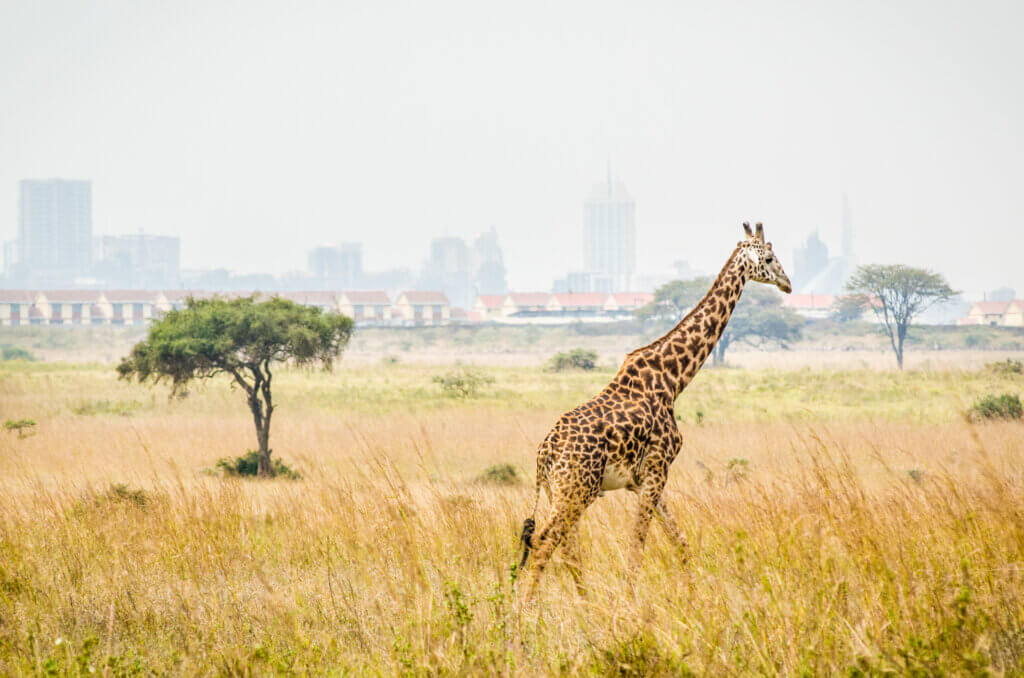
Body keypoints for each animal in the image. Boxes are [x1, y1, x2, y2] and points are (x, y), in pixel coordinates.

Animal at [520, 220, 790, 598]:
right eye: (768, 258)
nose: (787, 284)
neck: (674, 379)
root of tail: (544, 454)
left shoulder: (645, 479)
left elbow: (679, 540)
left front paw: (694, 596)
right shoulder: (657, 469)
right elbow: (639, 544)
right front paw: (629, 601)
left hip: (559, 491)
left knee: (565, 547)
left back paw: (583, 602)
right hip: (577, 490)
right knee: (545, 542)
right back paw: (526, 608)